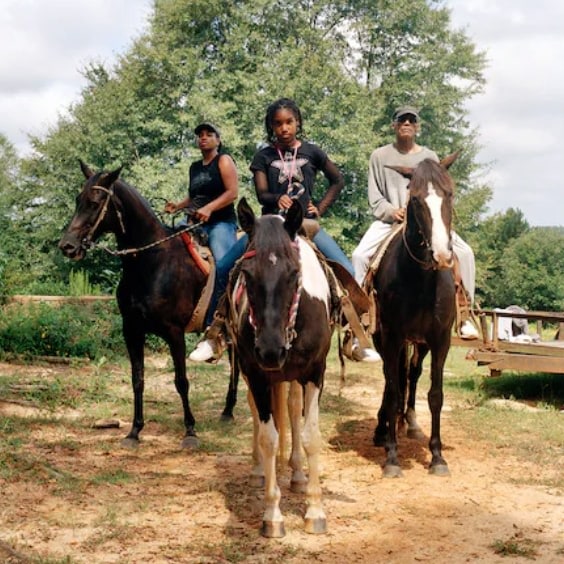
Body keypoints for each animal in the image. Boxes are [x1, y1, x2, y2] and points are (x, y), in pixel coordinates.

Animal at [59, 163, 238, 450]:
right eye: (78, 200)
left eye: (95, 203)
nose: (67, 246)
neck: (152, 263)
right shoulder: (132, 330)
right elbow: (138, 379)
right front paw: (134, 431)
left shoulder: (175, 333)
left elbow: (181, 381)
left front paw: (190, 431)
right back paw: (228, 410)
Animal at [227, 198, 334, 536]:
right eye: (247, 274)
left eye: (293, 273)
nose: (270, 350)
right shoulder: (258, 375)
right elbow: (268, 438)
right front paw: (272, 515)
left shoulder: (315, 373)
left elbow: (311, 434)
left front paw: (315, 510)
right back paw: (259, 470)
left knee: (291, 409)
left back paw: (298, 475)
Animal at [368, 153, 460, 476]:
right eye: (416, 198)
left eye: (450, 194)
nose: (442, 255)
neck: (421, 280)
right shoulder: (392, 336)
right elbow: (393, 388)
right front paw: (393, 457)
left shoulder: (440, 340)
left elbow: (435, 395)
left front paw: (437, 456)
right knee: (390, 379)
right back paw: (383, 428)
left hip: (419, 344)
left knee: (411, 373)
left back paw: (406, 422)